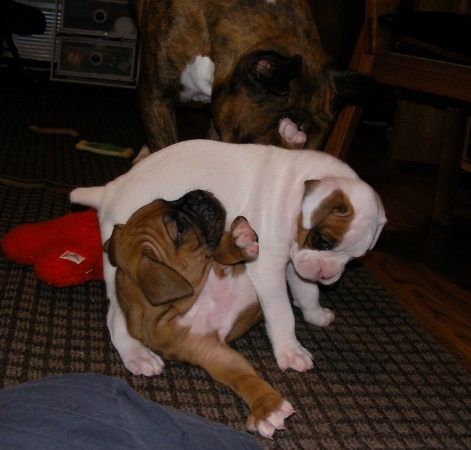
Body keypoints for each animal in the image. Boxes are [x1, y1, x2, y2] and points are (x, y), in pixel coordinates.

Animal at [71, 140, 386, 376]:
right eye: (323, 241)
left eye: (356, 259)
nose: (327, 275)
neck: (295, 192)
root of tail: (110, 190)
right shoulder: (268, 269)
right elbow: (282, 313)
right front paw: (290, 351)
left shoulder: (296, 263)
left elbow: (307, 291)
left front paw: (315, 313)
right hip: (121, 273)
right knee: (116, 317)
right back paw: (137, 354)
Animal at [103, 189, 294, 438]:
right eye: (180, 229)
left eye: (163, 200)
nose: (199, 195)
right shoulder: (213, 353)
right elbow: (243, 377)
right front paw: (267, 408)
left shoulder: (219, 267)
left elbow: (221, 253)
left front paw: (237, 242)